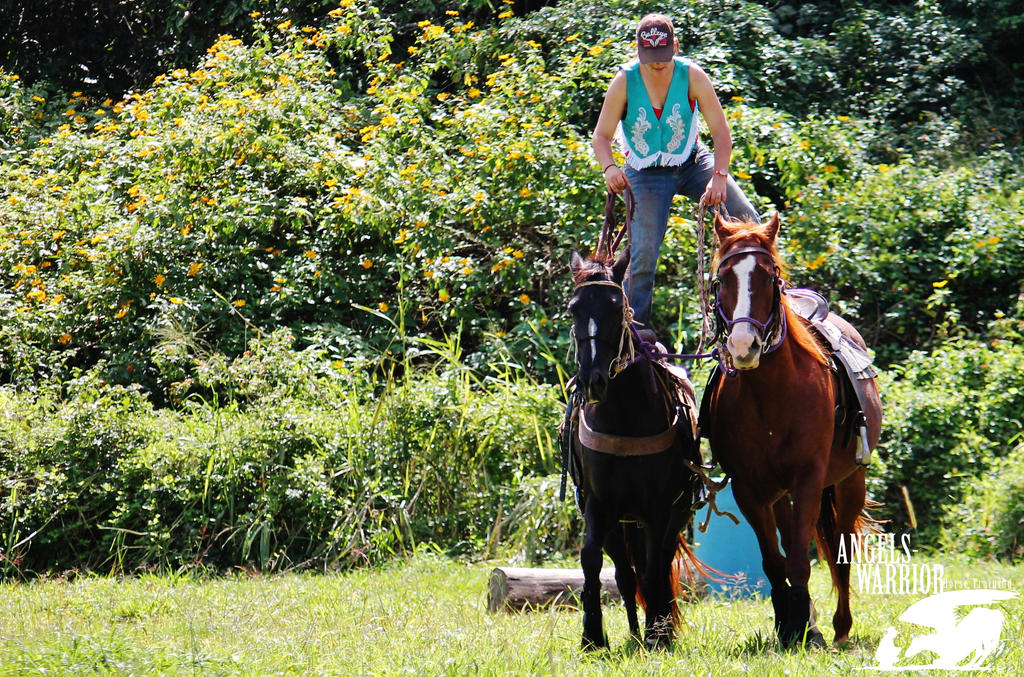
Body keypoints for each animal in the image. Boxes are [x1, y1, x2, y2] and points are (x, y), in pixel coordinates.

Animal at [563, 246, 706, 649]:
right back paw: (633, 632)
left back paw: (656, 629)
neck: (624, 416)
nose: (592, 381)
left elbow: (656, 566)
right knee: (627, 574)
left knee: (658, 562)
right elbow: (592, 560)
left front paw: (659, 632)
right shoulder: (599, 504)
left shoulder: (660, 507)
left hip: (672, 514)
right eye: (573, 309)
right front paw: (592, 636)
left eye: (615, 308)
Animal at [702, 213, 883, 648]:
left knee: (841, 549)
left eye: (769, 277)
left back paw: (840, 628)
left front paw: (806, 630)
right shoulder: (749, 489)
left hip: (850, 482)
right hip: (780, 493)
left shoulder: (808, 480)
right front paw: (790, 624)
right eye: (722, 280)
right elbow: (774, 562)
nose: (743, 346)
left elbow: (801, 560)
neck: (772, 393)